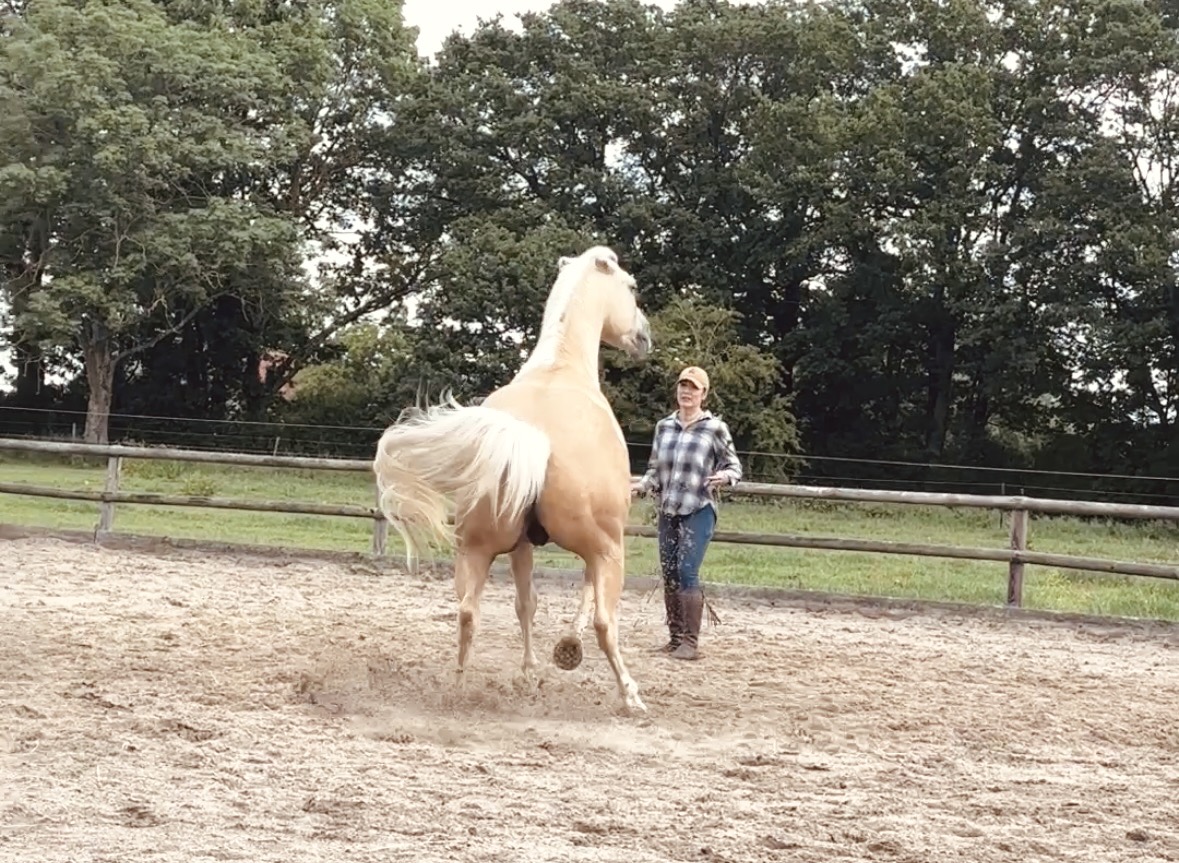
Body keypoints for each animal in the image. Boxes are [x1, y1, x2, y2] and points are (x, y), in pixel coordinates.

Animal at [371, 244, 653, 713]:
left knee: (469, 611)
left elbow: (526, 604)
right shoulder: (605, 546)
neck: (559, 367)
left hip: (477, 548)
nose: (644, 337)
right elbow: (583, 601)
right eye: (631, 286)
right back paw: (630, 695)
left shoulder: (522, 545)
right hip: (607, 551)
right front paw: (565, 652)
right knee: (604, 622)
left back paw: (459, 687)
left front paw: (530, 673)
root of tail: (533, 440)